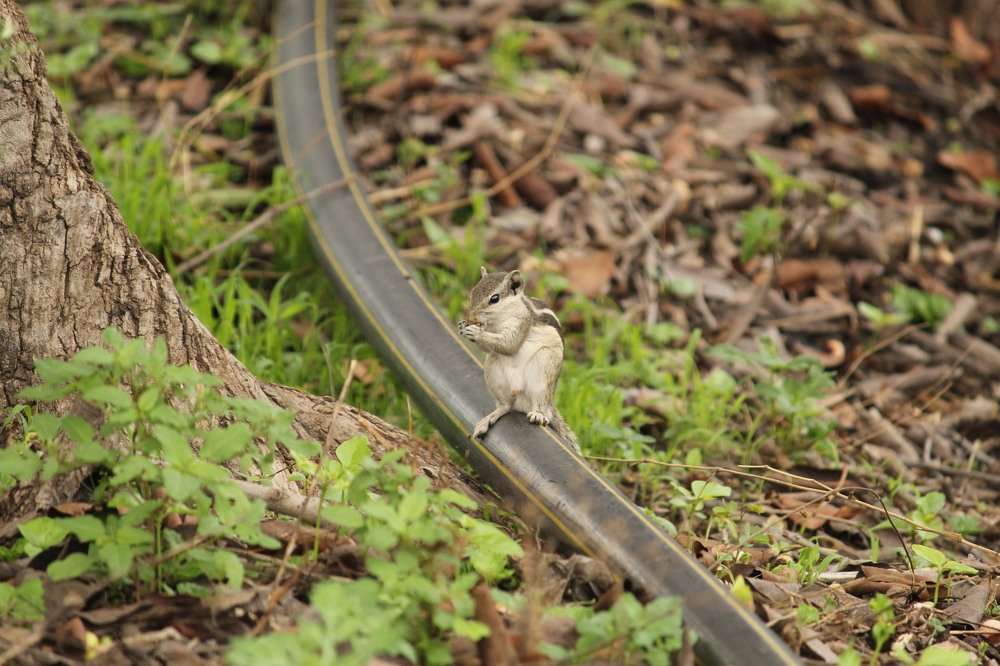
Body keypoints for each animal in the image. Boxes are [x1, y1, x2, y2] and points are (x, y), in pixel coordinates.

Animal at [459, 267, 580, 453]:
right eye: (473, 292)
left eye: (494, 299)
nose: (470, 318)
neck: (497, 321)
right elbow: (490, 348)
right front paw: (464, 327)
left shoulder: (522, 322)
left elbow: (509, 344)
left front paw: (475, 332)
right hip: (493, 371)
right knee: (506, 406)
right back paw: (490, 418)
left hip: (543, 369)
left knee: (540, 405)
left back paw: (538, 415)